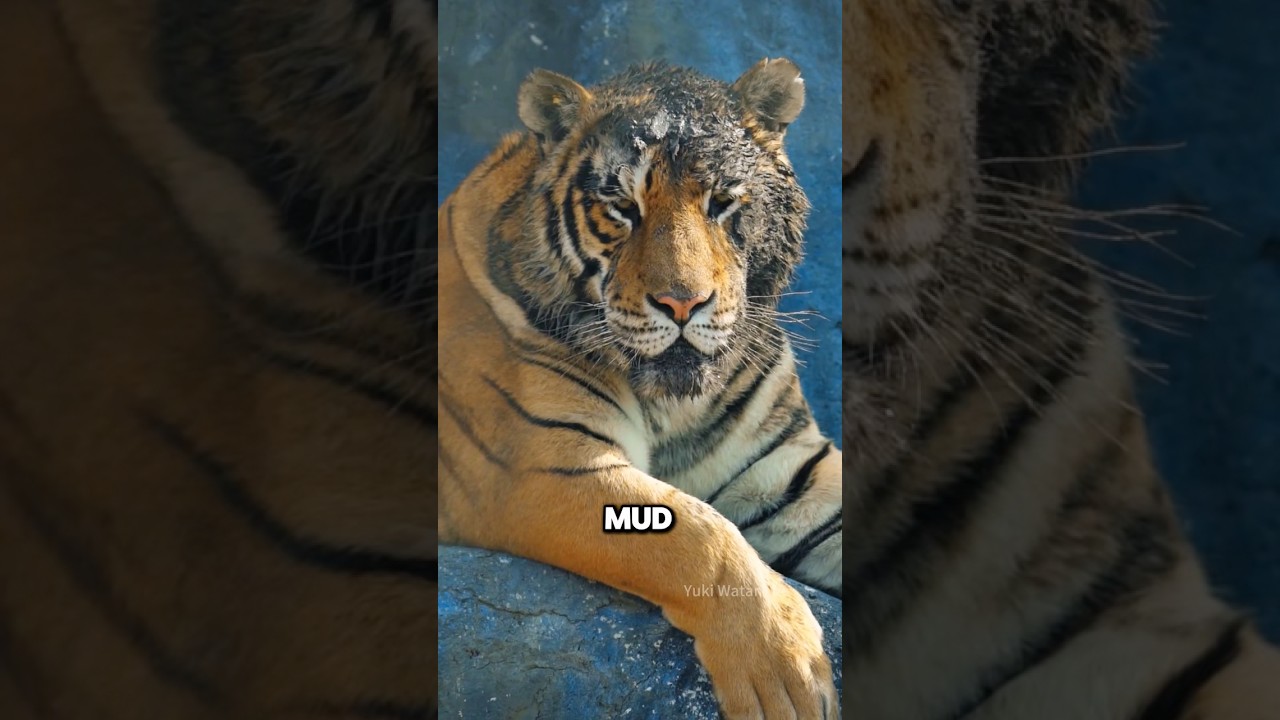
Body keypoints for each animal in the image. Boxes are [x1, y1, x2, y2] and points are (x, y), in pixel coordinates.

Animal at [438, 59, 842, 718]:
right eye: (622, 207)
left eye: (721, 202)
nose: (682, 303)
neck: (674, 407)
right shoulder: (545, 464)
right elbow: (702, 535)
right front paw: (787, 670)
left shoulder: (785, 468)